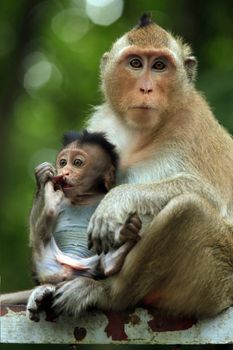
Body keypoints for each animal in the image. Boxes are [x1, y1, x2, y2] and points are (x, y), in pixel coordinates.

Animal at [30, 129, 141, 284]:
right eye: (63, 163)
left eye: (77, 162)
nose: (64, 172)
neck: (84, 198)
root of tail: (69, 269)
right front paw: (42, 178)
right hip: (48, 262)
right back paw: (49, 202)